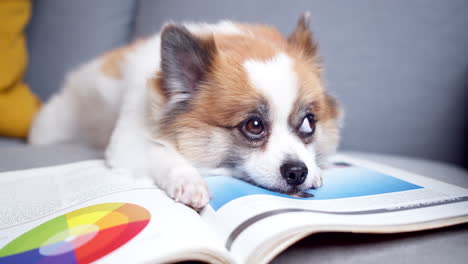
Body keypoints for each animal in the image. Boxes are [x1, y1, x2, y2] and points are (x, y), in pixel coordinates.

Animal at [30, 13, 344, 209]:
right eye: (254, 126)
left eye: (309, 123)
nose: (298, 172)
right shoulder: (127, 145)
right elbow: (161, 153)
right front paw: (188, 180)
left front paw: (316, 169)